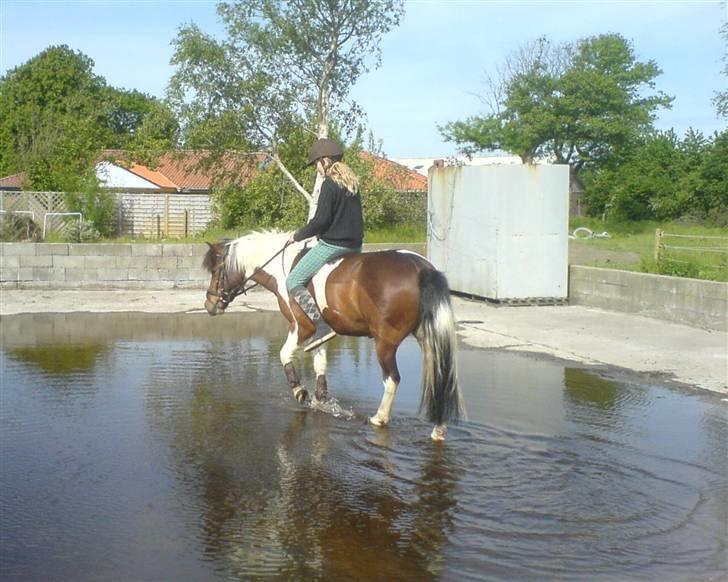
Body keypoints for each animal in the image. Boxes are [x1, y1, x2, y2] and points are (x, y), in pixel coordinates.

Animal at [200, 230, 460, 440]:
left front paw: (300, 391)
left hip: (385, 342)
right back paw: (439, 428)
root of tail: (420, 267)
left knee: (392, 379)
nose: (209, 305)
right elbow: (320, 363)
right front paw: (321, 399)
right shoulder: (320, 331)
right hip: (428, 338)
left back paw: (379, 418)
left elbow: (285, 355)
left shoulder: (301, 327)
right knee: (440, 376)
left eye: (215, 270)